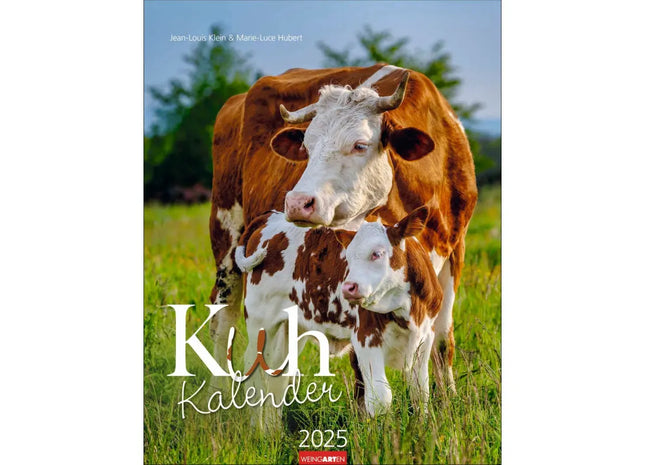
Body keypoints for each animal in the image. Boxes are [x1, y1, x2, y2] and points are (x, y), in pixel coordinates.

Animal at [209, 64, 477, 393]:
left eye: (360, 145)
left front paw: (449, 400)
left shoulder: (454, 254)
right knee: (223, 319)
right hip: (226, 236)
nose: (297, 203)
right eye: (307, 146)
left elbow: (441, 343)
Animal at [234, 205, 443, 422]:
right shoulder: (366, 337)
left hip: (290, 329)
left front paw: (421, 427)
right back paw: (258, 428)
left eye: (377, 253)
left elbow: (420, 392)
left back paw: (272, 428)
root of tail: (272, 216)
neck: (408, 309)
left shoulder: (425, 336)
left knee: (278, 377)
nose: (348, 287)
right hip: (260, 322)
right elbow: (380, 397)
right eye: (348, 257)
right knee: (255, 374)